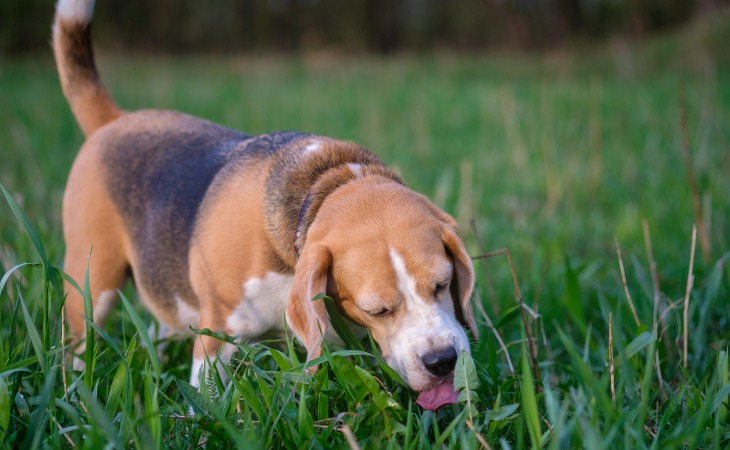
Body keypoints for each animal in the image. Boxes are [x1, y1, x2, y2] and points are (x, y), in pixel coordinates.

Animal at [54, 0, 478, 412]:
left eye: (443, 284)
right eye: (379, 311)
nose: (442, 361)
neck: (324, 185)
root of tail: (115, 120)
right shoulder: (215, 332)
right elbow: (206, 398)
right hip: (93, 284)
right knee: (78, 342)